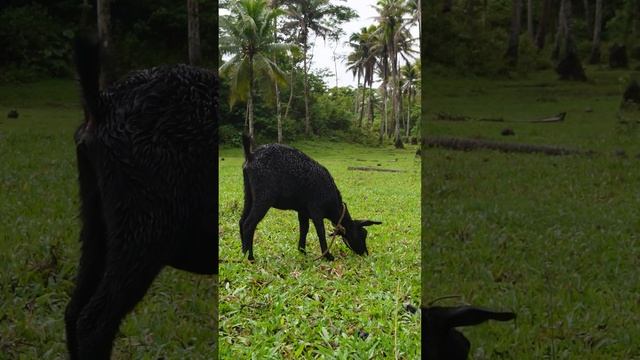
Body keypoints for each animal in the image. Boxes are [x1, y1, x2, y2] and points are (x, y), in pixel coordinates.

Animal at [239, 136, 380, 260]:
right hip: (264, 196)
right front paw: (328, 256)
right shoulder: (316, 209)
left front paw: (302, 251)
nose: (365, 253)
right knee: (249, 224)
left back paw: (243, 252)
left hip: (249, 193)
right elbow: (320, 231)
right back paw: (250, 257)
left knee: (242, 221)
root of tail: (251, 156)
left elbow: (304, 229)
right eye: (362, 234)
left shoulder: (303, 211)